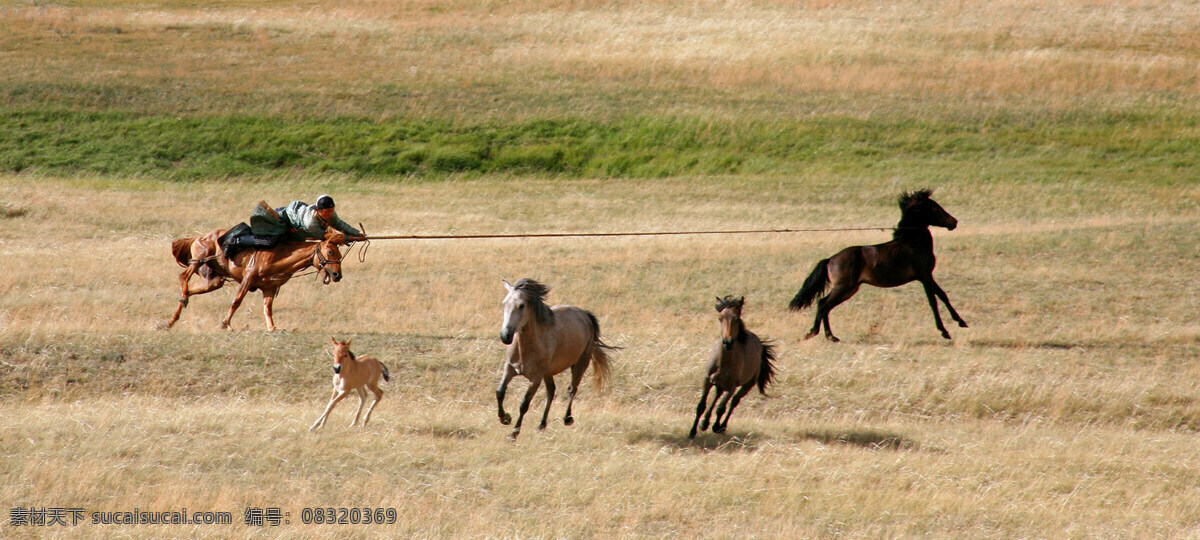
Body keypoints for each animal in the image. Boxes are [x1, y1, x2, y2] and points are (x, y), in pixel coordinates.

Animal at [164, 229, 347, 331]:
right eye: (330, 251)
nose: (337, 275)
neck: (279, 255)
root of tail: (198, 237)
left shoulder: (270, 288)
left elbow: (268, 309)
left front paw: (273, 327)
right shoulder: (248, 279)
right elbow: (236, 301)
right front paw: (225, 324)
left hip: (211, 282)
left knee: (190, 290)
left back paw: (171, 321)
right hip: (199, 259)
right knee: (183, 277)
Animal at [496, 278, 616, 440]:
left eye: (521, 305)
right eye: (504, 303)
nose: (505, 336)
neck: (525, 348)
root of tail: (585, 314)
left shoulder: (535, 379)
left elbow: (524, 404)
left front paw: (514, 433)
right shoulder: (509, 369)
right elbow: (500, 392)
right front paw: (505, 418)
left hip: (580, 364)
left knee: (572, 389)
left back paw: (567, 419)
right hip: (548, 372)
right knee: (551, 391)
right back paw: (542, 424)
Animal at [689, 296, 778, 439]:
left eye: (736, 318)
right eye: (720, 318)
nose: (727, 342)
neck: (723, 362)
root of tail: (759, 342)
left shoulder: (731, 387)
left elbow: (721, 408)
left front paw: (716, 427)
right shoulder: (707, 380)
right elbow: (701, 406)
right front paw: (693, 431)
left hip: (747, 384)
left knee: (734, 402)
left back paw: (721, 425)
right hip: (719, 384)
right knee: (717, 396)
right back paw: (705, 422)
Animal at [788, 189, 968, 342]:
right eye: (934, 207)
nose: (954, 222)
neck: (913, 244)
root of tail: (830, 259)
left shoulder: (928, 276)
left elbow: (943, 295)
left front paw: (961, 322)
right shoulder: (924, 276)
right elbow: (933, 301)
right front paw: (944, 331)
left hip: (850, 289)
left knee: (826, 305)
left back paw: (831, 336)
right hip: (843, 287)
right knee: (823, 304)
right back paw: (813, 333)